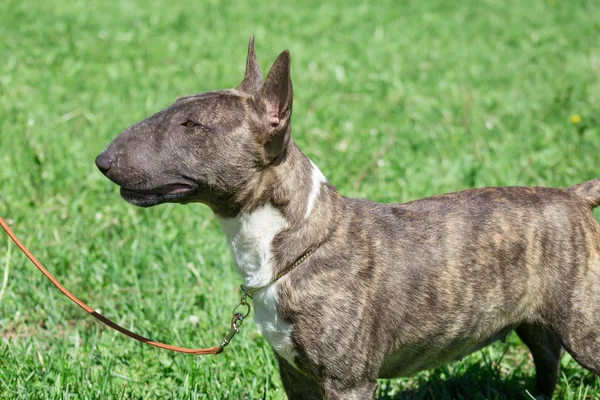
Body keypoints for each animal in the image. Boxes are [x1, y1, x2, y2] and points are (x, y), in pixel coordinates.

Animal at [96, 36, 600, 396]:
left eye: (192, 125)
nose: (102, 160)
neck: (293, 244)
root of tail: (574, 196)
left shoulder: (349, 382)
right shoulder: (295, 375)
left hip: (587, 327)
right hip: (535, 321)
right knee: (547, 359)